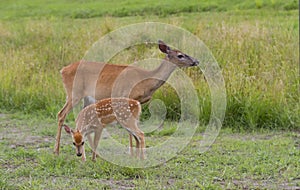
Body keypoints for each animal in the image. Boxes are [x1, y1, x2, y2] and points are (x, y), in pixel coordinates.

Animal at [54, 39, 199, 154]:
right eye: (180, 55)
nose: (196, 61)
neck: (146, 80)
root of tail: (62, 70)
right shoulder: (128, 97)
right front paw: (131, 151)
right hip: (74, 93)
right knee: (61, 114)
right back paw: (57, 151)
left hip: (86, 98)